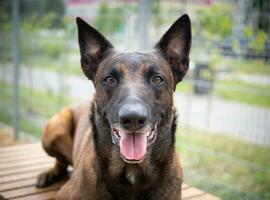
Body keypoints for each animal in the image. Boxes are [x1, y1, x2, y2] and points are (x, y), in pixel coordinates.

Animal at [36, 13, 192, 199]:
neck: (132, 172)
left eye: (157, 79)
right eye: (109, 79)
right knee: (60, 160)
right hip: (55, 127)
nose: (133, 119)